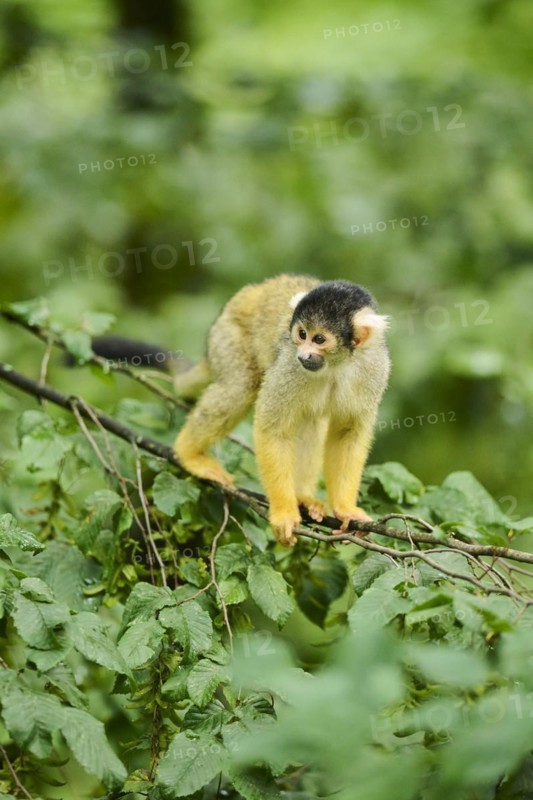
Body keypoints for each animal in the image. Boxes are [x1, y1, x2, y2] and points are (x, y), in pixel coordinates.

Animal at [172, 274, 390, 546]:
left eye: (319, 339)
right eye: (302, 334)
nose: (303, 354)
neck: (336, 365)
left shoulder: (374, 368)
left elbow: (347, 433)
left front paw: (346, 509)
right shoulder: (289, 365)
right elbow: (273, 429)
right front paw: (284, 514)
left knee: (311, 419)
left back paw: (303, 497)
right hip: (228, 335)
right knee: (240, 386)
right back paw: (189, 454)